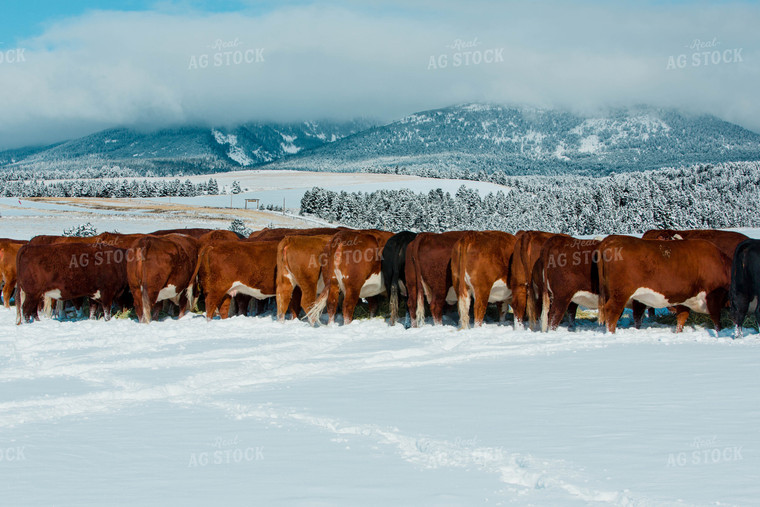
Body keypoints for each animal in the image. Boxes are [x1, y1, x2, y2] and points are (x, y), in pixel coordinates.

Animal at [592, 237, 732, 336]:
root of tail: (612, 239)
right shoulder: (714, 297)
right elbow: (716, 319)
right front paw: (719, 332)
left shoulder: (684, 297)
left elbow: (682, 318)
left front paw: (678, 333)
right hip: (620, 294)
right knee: (612, 311)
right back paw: (611, 333)